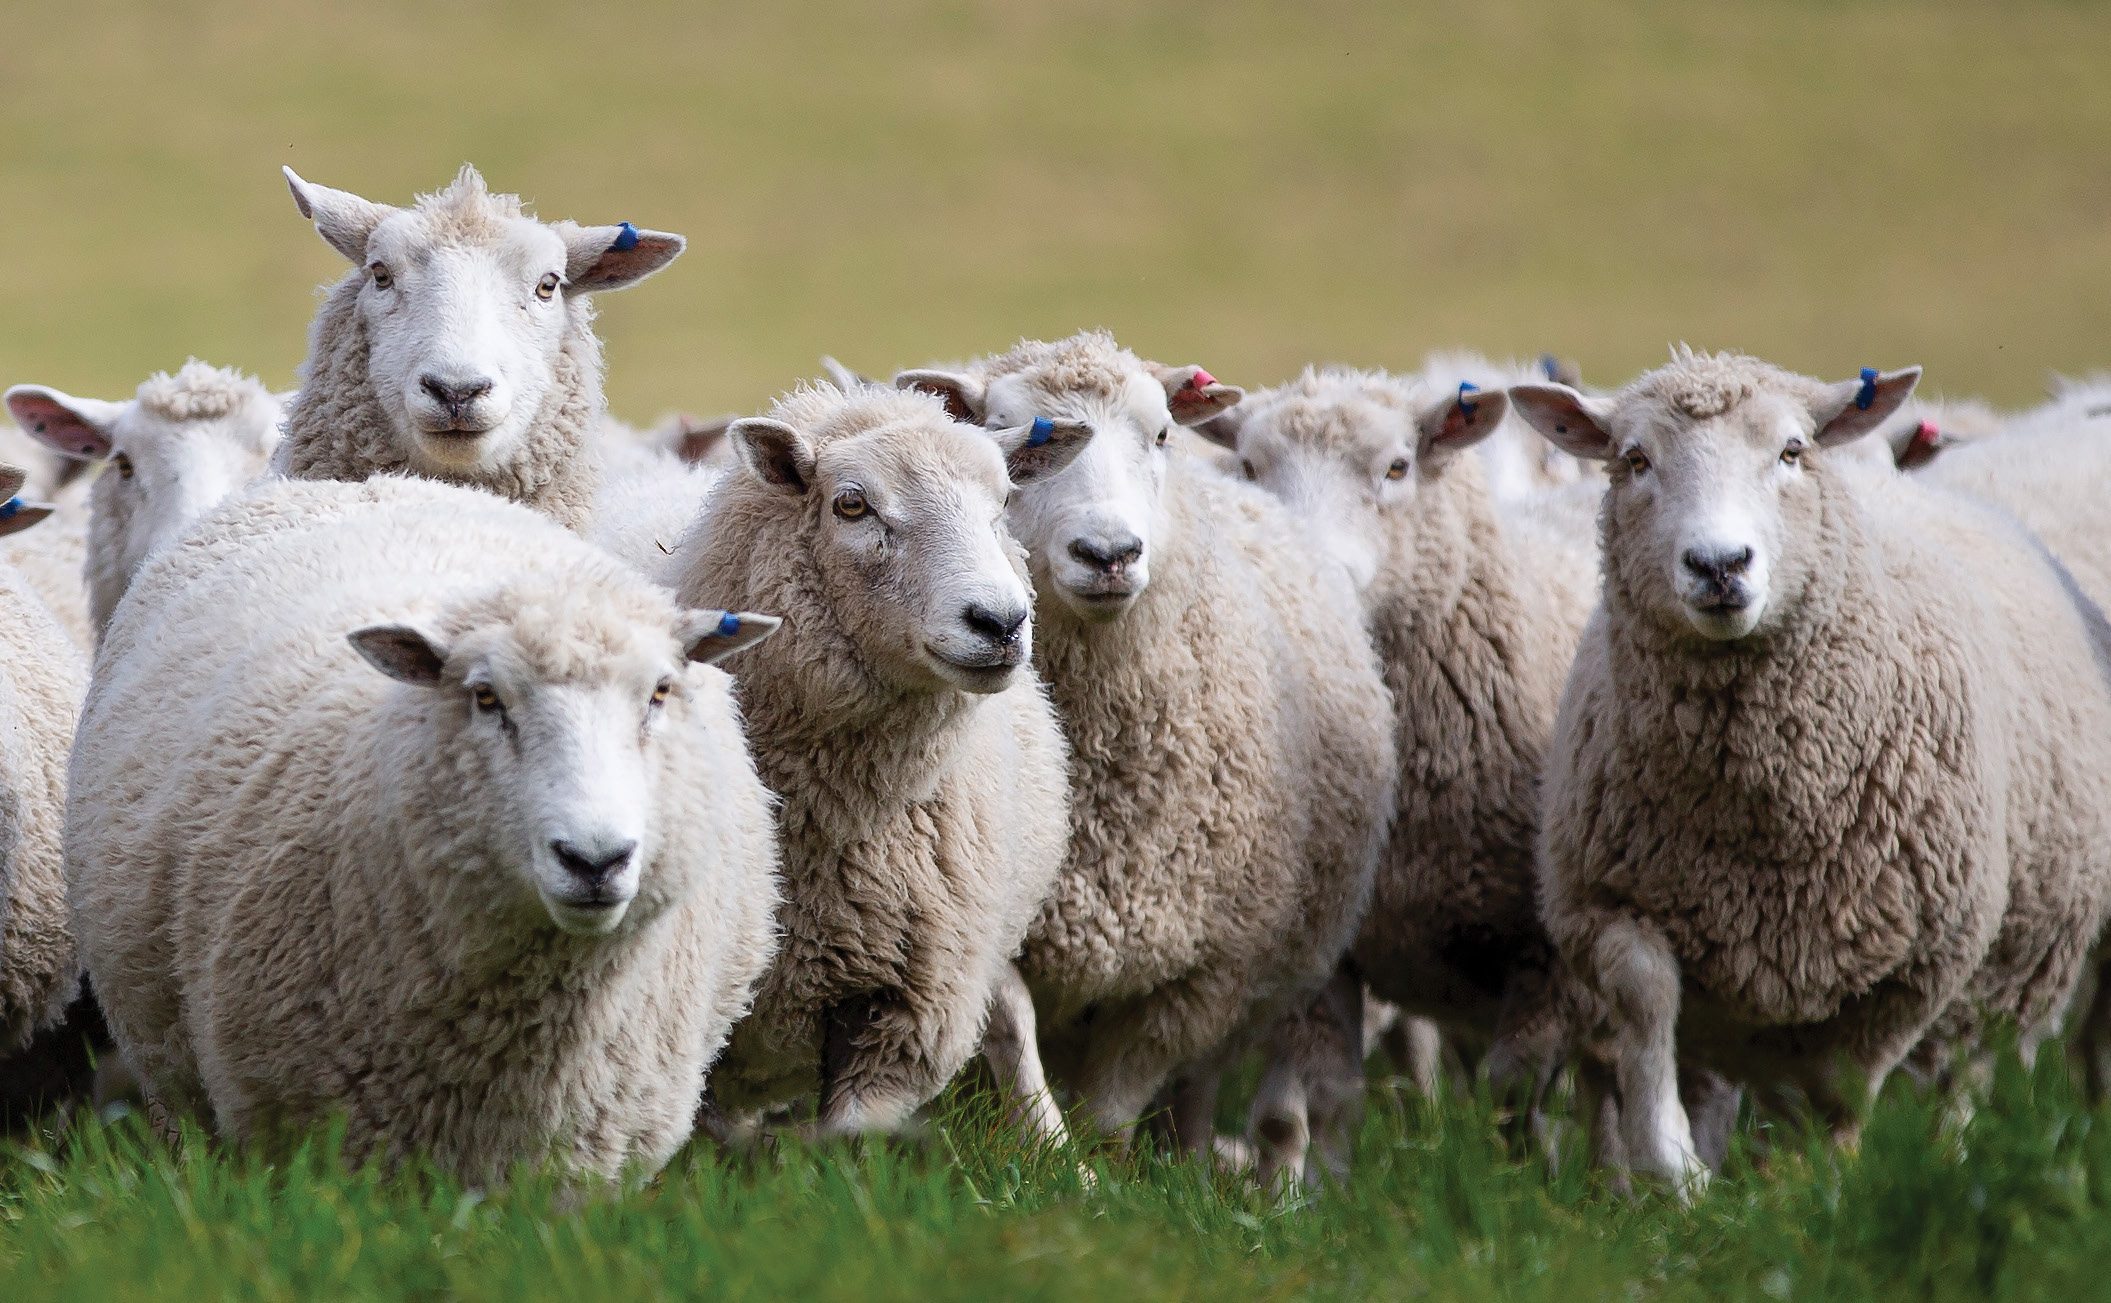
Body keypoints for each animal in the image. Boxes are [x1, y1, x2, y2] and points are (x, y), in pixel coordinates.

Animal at [672, 382, 1082, 1138]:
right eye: (852, 504)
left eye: (1005, 501)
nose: (1000, 622)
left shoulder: (912, 1003)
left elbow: (852, 1136)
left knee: (1011, 1009)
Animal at [895, 332, 1396, 1157]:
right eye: (1009, 435)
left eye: (1161, 433)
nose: (1108, 553)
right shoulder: (991, 914)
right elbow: (1011, 1035)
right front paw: (1048, 1153)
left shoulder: (1208, 971)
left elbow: (1118, 1097)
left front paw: (1097, 1165)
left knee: (1195, 1083)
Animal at [1196, 365, 1596, 1186]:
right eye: (1248, 466)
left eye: (1396, 468)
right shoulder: (1328, 945)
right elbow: (1324, 1098)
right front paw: (1321, 1194)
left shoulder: (1547, 953)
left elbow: (1514, 1092)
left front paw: (1522, 1186)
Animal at [1507, 349, 2111, 1190]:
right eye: (1633, 460)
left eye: (1790, 451)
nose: (1718, 564)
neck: (1758, 807)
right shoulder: (1604, 896)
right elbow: (1646, 997)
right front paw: (1672, 1165)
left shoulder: (1917, 963)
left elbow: (1843, 1086)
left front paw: (1823, 1186)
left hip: (2009, 972)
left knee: (1958, 1073)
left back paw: (1943, 1162)